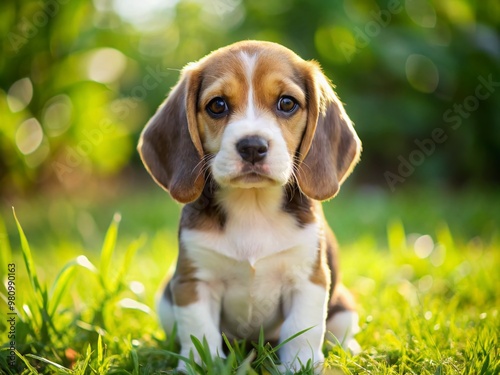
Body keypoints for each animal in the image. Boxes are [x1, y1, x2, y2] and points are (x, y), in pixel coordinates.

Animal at [139, 39, 362, 372]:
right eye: (217, 105)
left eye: (287, 103)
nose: (253, 146)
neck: (253, 206)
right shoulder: (193, 283)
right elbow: (199, 333)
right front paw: (201, 365)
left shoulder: (308, 279)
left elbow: (302, 330)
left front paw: (300, 366)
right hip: (166, 299)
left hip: (344, 306)